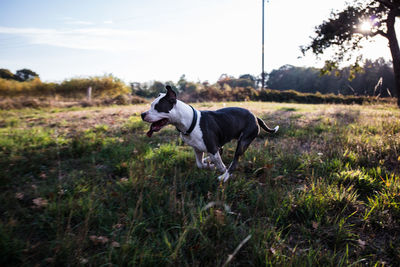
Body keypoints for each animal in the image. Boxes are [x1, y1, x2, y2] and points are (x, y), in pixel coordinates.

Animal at [141, 86, 278, 182]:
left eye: (157, 107)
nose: (142, 114)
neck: (190, 121)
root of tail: (255, 117)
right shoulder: (197, 149)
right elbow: (200, 164)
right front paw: (210, 166)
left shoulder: (212, 148)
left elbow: (221, 165)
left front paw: (220, 171)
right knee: (220, 152)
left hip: (243, 142)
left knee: (234, 162)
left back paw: (225, 176)